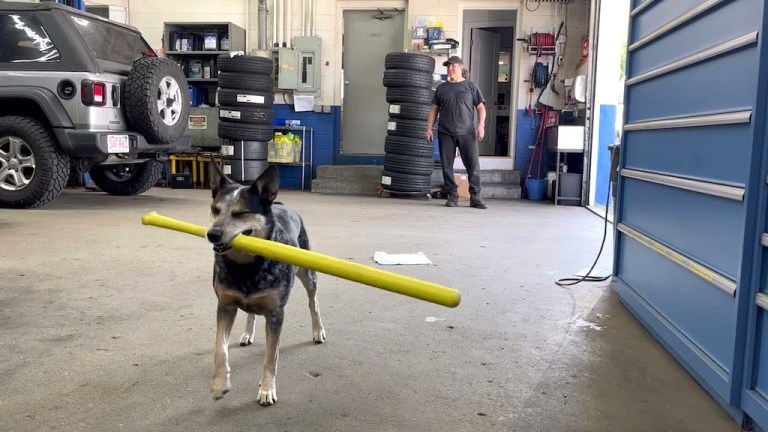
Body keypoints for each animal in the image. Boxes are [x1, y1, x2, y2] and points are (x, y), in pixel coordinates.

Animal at [204, 161, 324, 404]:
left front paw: (267, 389)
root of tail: (282, 205)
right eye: (215, 209)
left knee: (313, 302)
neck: (246, 265)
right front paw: (220, 384)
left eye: (241, 213)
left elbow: (271, 357)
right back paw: (247, 333)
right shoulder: (225, 305)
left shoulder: (276, 314)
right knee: (251, 312)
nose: (212, 234)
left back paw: (318, 330)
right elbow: (220, 348)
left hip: (307, 273)